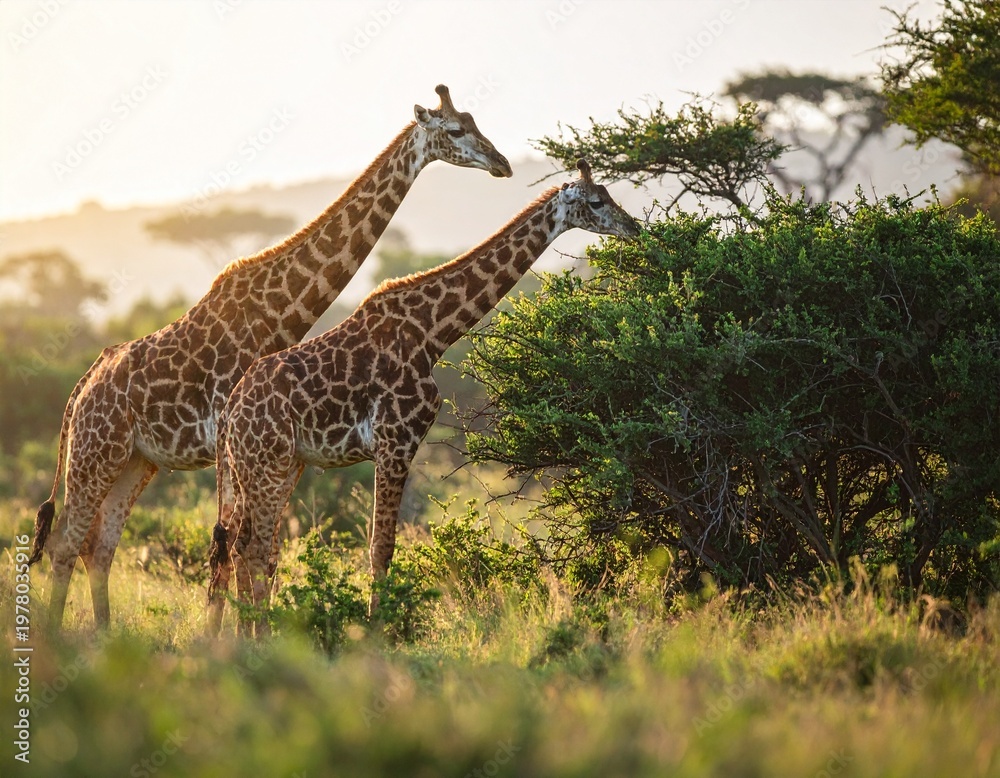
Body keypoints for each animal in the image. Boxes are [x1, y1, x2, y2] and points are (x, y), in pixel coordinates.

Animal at [28, 84, 512, 630]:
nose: (501, 163)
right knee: (67, 542)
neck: (280, 310)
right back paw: (59, 636)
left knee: (98, 546)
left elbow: (250, 549)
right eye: (455, 130)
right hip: (96, 453)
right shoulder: (231, 436)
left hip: (137, 460)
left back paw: (103, 633)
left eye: (475, 122)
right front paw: (223, 638)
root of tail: (81, 387)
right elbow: (231, 547)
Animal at [207, 159, 639, 635]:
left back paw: (244, 635)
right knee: (253, 547)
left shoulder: (394, 446)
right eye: (596, 201)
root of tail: (229, 412)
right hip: (266, 465)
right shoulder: (395, 441)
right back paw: (258, 637)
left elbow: (381, 544)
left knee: (242, 544)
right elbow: (381, 546)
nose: (634, 227)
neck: (432, 333)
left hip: (269, 466)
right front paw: (375, 631)